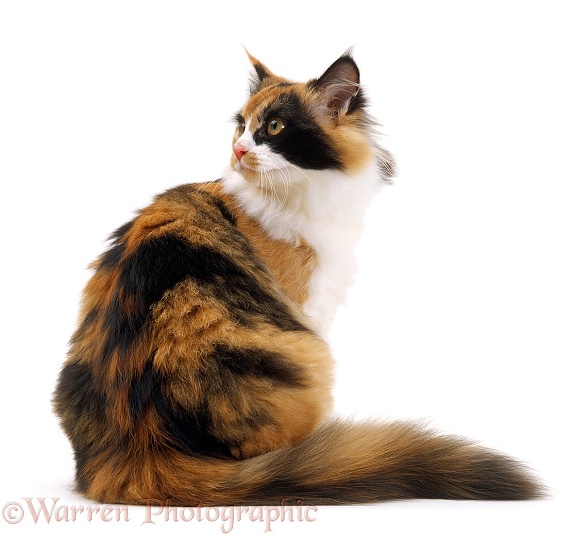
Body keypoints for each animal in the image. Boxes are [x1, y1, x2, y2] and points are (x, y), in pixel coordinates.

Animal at [52, 50, 540, 506]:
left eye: (274, 127)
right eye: (242, 126)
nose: (239, 151)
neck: (298, 193)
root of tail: (139, 449)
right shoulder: (307, 303)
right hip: (307, 355)